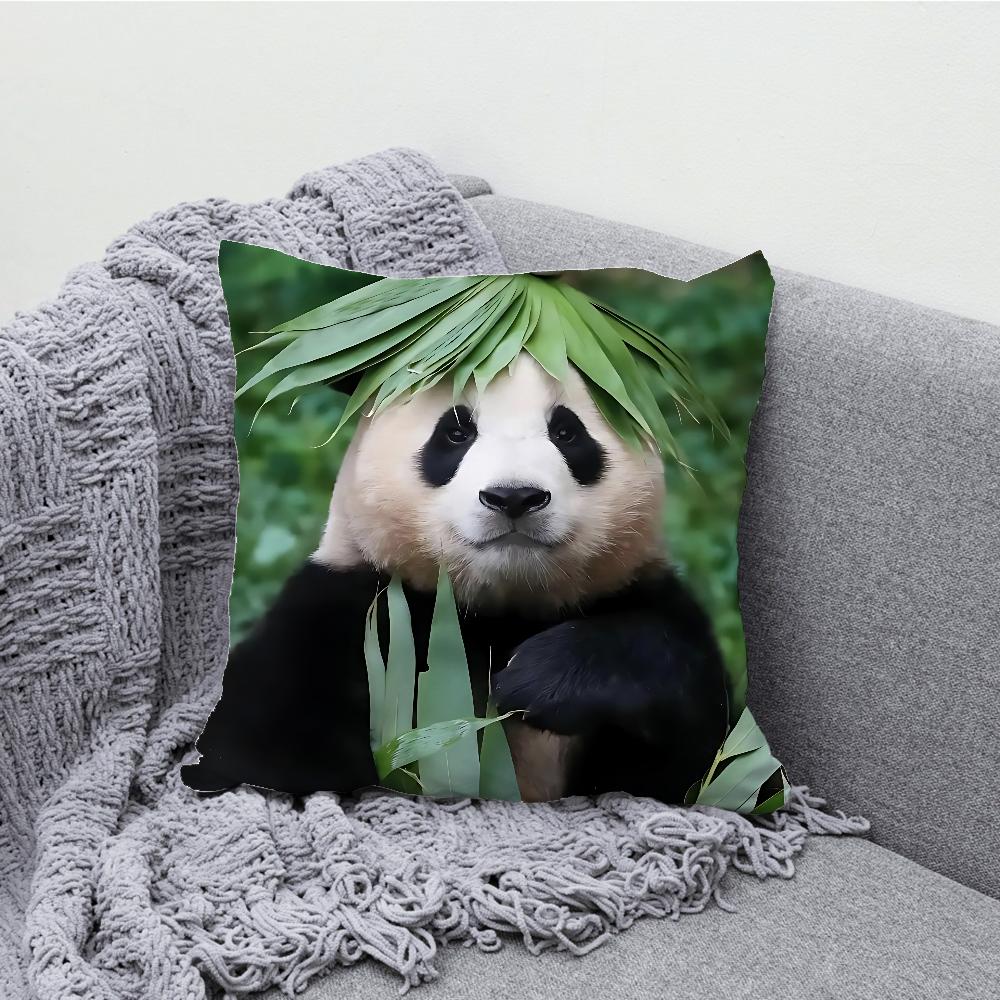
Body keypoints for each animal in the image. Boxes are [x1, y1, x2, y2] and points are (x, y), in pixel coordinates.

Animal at [183, 353, 729, 803]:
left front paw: (537, 681)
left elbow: (696, 749)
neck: (498, 609)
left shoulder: (633, 595)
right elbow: (259, 745)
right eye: (456, 432)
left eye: (567, 434)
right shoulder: (345, 611)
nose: (514, 497)